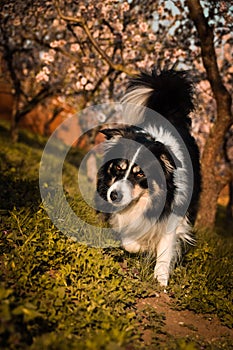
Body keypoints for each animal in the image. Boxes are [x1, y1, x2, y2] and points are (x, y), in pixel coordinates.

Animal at [95, 69, 201, 288]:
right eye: (118, 167)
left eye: (141, 174)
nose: (113, 196)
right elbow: (129, 239)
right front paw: (139, 246)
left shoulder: (173, 213)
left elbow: (165, 248)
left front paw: (161, 279)